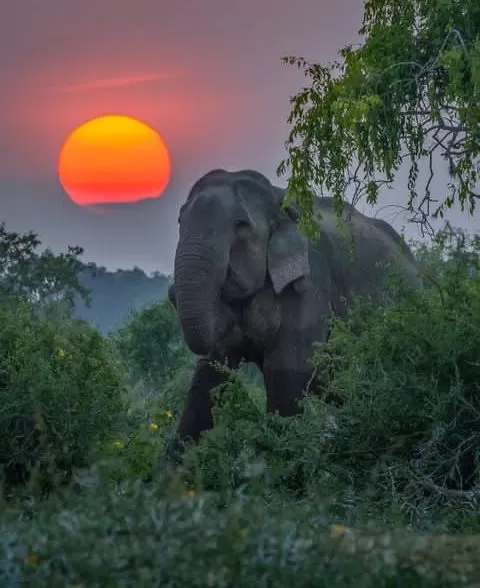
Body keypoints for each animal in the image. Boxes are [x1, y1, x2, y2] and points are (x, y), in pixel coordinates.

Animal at [164, 168, 420, 458]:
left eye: (241, 225)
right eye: (180, 221)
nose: (171, 292)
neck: (279, 199)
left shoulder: (312, 280)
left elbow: (287, 371)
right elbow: (209, 376)